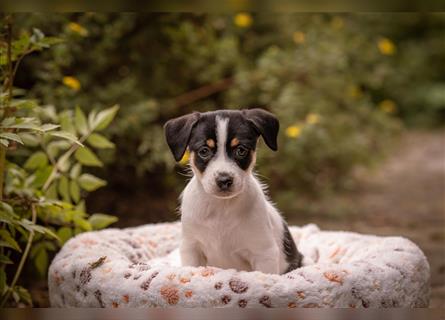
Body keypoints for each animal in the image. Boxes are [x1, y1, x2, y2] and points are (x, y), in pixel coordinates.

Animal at [163, 109, 302, 274]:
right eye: (204, 151)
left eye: (241, 150)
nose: (224, 180)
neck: (221, 207)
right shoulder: (191, 248)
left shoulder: (264, 253)